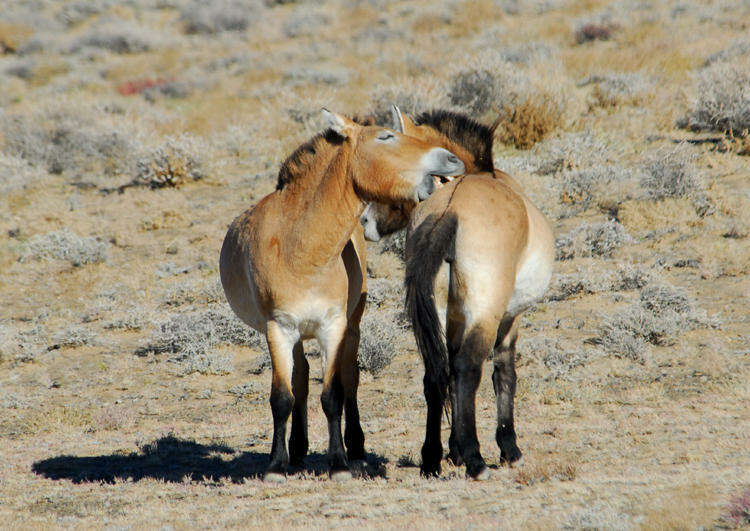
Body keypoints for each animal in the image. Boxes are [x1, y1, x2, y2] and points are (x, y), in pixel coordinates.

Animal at [219, 109, 464, 482]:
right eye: (386, 137)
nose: (452, 160)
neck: (301, 249)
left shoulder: (332, 327)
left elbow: (333, 393)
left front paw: (338, 463)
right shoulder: (279, 329)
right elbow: (282, 397)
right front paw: (276, 464)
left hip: (352, 326)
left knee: (349, 377)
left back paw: (355, 446)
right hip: (296, 334)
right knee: (302, 377)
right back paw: (298, 449)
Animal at [362, 108, 556, 482]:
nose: (364, 220)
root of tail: (448, 210)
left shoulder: (452, 320)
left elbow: (447, 374)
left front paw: (452, 451)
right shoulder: (509, 320)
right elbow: (503, 373)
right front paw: (508, 449)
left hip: (437, 315)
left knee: (435, 375)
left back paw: (431, 459)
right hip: (486, 314)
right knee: (469, 368)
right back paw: (476, 461)